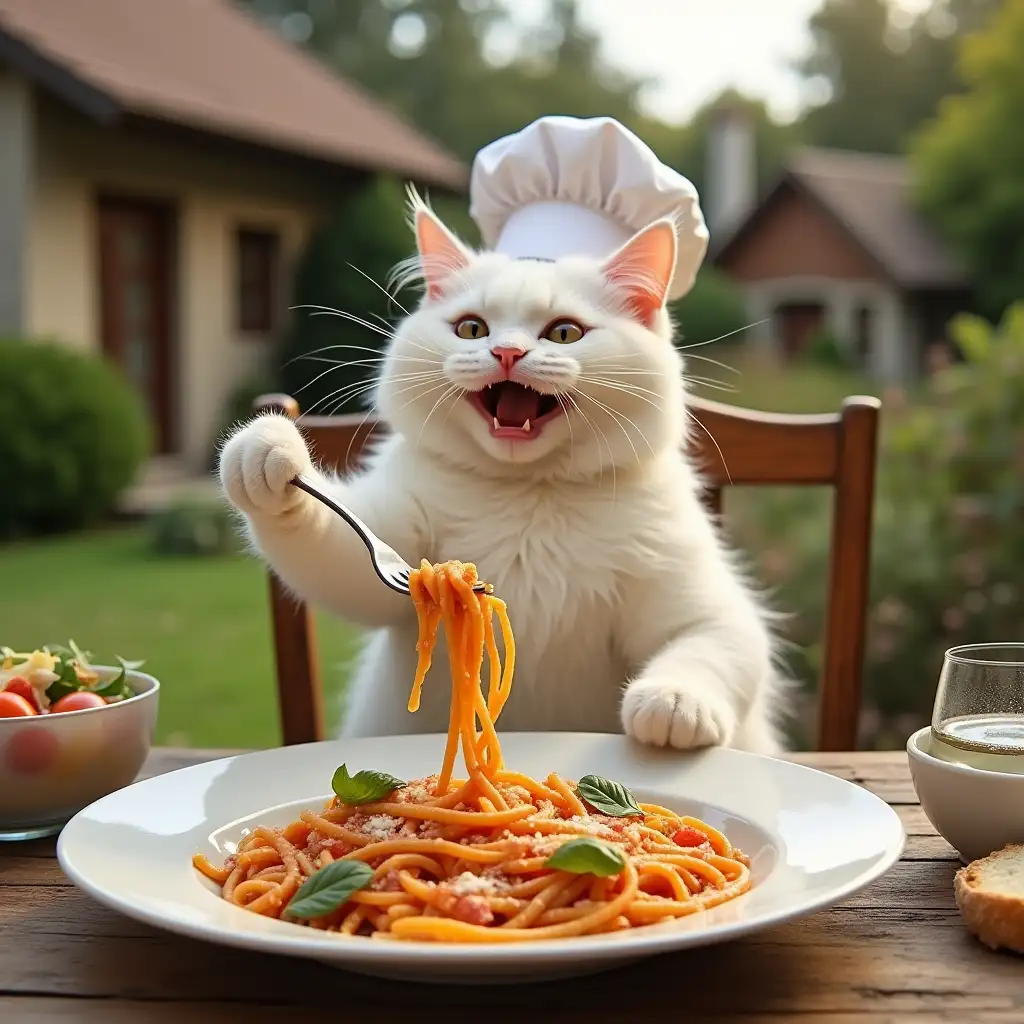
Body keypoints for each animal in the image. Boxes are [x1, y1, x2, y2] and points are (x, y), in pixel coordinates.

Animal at [222, 195, 782, 753]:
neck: (531, 493)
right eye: (472, 328)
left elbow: (712, 642)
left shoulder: (696, 593)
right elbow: (334, 554)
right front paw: (264, 450)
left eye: (564, 333)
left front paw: (673, 704)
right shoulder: (388, 548)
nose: (506, 352)